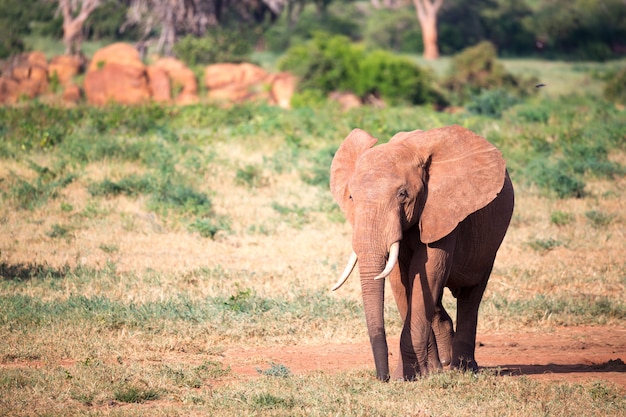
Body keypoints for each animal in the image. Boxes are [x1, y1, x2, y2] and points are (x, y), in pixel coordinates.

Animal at [326, 125, 512, 382]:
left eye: (403, 194)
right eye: (351, 196)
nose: (382, 378)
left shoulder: (442, 208)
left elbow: (429, 269)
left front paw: (403, 377)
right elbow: (401, 281)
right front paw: (418, 373)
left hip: (490, 242)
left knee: (471, 295)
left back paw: (462, 369)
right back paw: (441, 364)